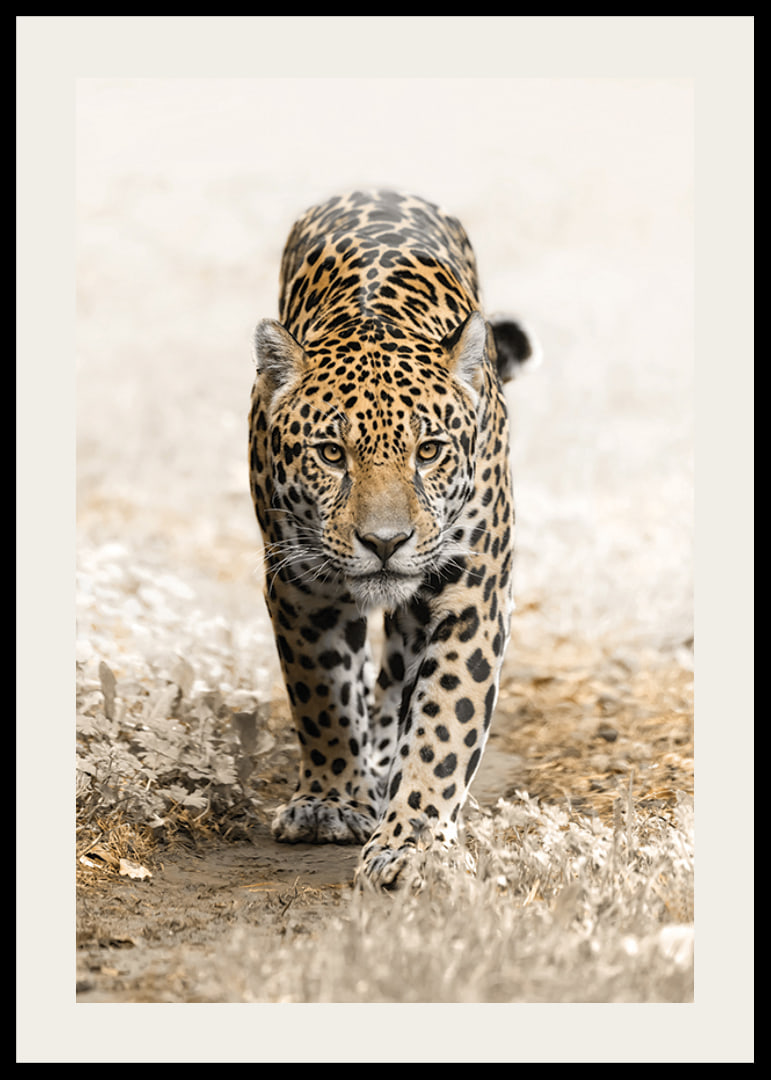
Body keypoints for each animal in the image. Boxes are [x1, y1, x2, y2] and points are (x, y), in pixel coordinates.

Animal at [248, 188, 538, 890]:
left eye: (428, 451)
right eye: (330, 453)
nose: (386, 542)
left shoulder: (472, 594)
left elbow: (443, 723)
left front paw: (415, 843)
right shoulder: (300, 588)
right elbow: (321, 695)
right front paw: (329, 802)